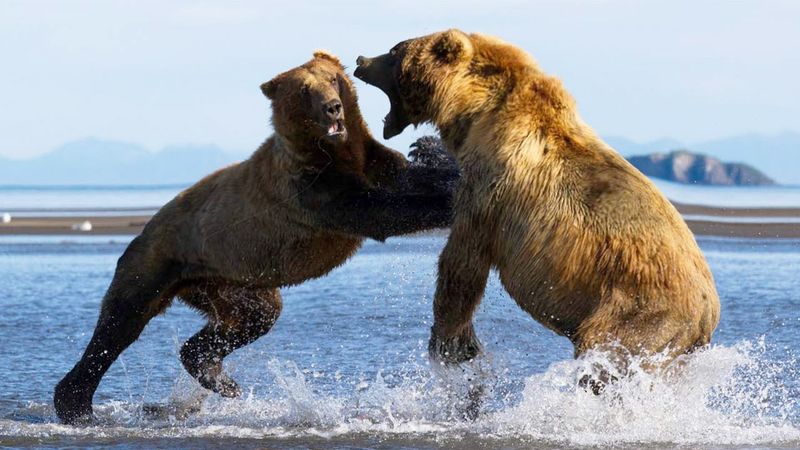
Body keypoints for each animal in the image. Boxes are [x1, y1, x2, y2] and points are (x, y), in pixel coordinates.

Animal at [53, 51, 459, 425]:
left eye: (332, 79)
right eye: (305, 90)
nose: (332, 108)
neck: (337, 152)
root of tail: (145, 227)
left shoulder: (370, 160)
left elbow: (407, 177)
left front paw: (433, 155)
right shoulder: (313, 190)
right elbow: (381, 211)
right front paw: (448, 198)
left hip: (228, 281)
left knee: (253, 318)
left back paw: (217, 377)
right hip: (160, 260)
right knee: (120, 324)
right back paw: (76, 404)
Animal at [355, 30, 720, 387]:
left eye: (394, 51)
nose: (361, 60)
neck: (476, 112)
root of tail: (708, 316)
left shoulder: (494, 188)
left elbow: (463, 262)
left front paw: (451, 344)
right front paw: (426, 148)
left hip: (639, 313)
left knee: (604, 361)